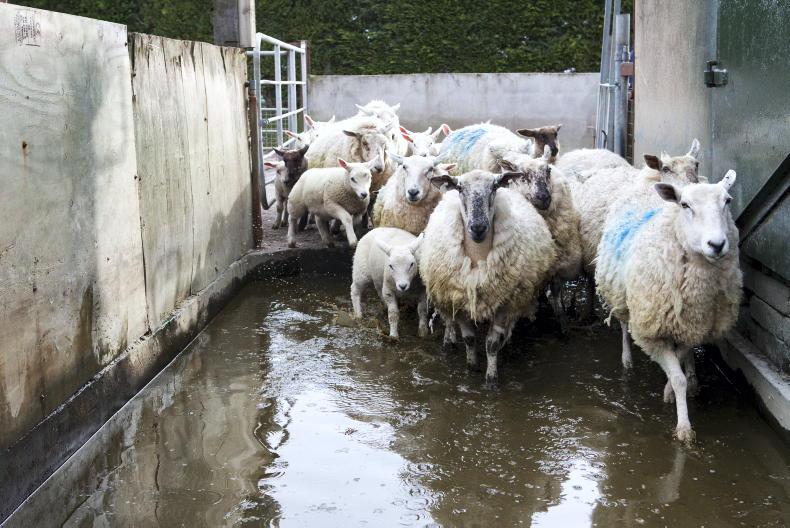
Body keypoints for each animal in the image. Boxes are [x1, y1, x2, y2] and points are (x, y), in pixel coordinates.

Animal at [419, 170, 557, 386]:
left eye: (494, 187)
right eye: (460, 188)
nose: (478, 227)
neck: (477, 257)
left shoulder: (503, 304)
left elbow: (491, 344)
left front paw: (491, 379)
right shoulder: (459, 300)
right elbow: (469, 339)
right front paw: (471, 366)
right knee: (449, 321)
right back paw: (448, 342)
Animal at [595, 170, 742, 443]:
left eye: (727, 201)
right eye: (685, 205)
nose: (717, 244)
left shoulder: (694, 327)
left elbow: (680, 360)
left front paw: (670, 390)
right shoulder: (651, 332)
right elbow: (677, 378)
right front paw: (683, 427)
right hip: (622, 297)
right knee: (624, 326)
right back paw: (627, 359)